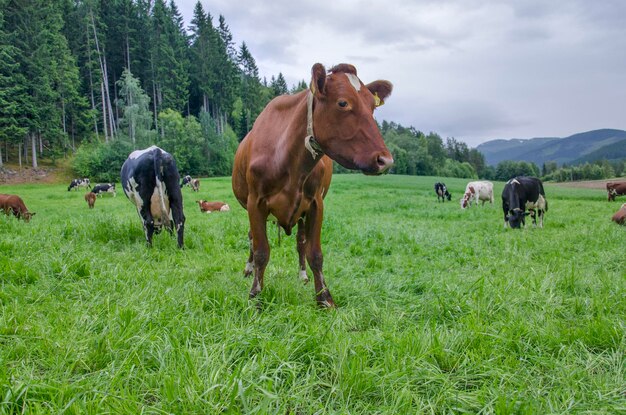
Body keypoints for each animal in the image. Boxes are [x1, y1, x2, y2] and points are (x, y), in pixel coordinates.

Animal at [232, 62, 392, 308]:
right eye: (343, 103)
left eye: (372, 106)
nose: (385, 160)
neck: (287, 157)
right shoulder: (255, 203)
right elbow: (261, 252)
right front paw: (255, 297)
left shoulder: (316, 204)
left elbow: (315, 253)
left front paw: (324, 298)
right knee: (251, 238)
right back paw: (248, 270)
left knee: (300, 242)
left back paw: (302, 275)